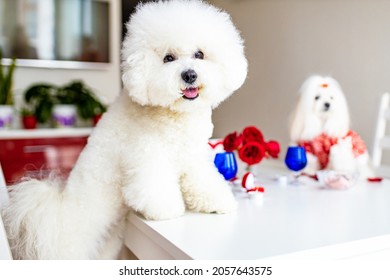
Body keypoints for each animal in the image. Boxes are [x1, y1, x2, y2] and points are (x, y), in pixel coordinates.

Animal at [2, 0, 247, 260]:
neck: (173, 114)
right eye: (168, 58)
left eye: (199, 54)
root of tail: (56, 219)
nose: (189, 74)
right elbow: (153, 188)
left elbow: (203, 181)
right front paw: (168, 210)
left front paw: (217, 201)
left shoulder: (193, 156)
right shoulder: (147, 156)